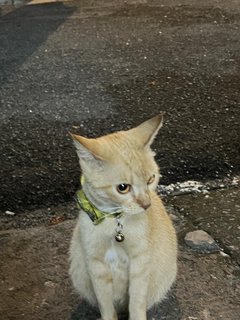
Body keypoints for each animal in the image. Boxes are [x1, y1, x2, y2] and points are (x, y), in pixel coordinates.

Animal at [68, 114, 177, 320]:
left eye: (150, 179)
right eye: (123, 188)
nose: (146, 204)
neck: (114, 223)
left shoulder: (140, 264)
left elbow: (136, 303)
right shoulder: (96, 266)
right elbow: (106, 306)